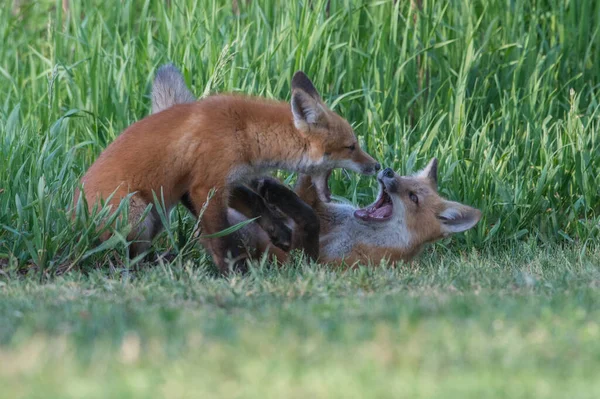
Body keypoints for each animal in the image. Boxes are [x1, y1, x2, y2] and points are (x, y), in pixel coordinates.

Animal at [77, 65, 380, 272]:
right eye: (351, 147)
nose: (377, 167)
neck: (243, 131)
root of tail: (74, 217)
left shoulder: (229, 180)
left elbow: (258, 204)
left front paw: (280, 233)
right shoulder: (205, 186)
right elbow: (221, 237)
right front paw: (233, 273)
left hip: (155, 217)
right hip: (138, 214)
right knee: (126, 257)